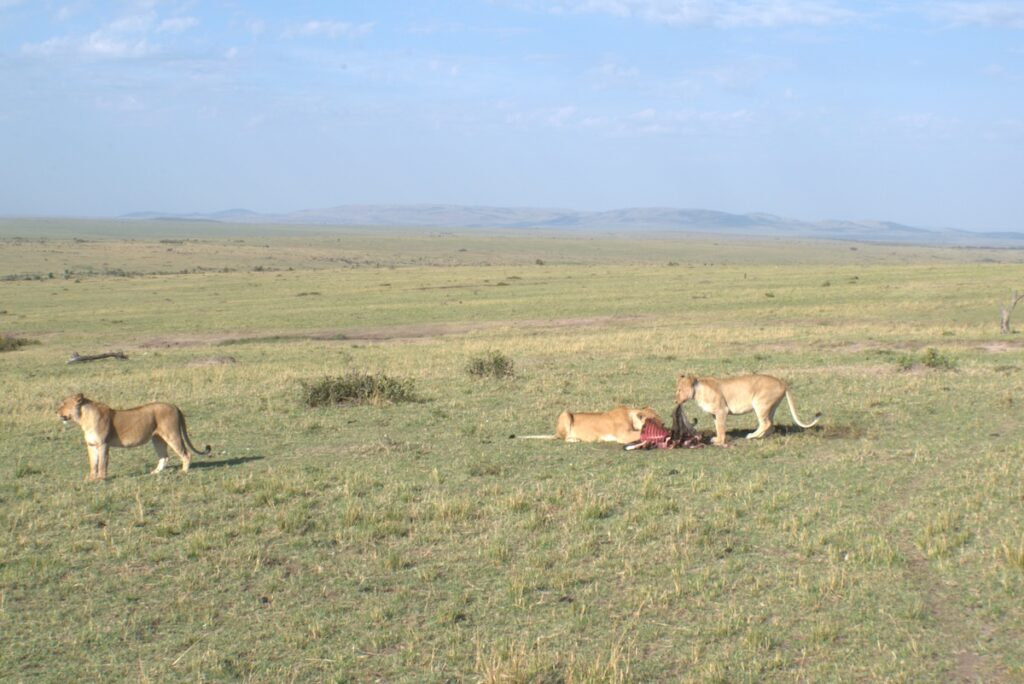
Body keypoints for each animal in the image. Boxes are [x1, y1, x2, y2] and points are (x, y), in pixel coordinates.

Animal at [58, 393, 211, 481]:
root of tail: (175, 406)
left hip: (172, 434)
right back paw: (155, 473)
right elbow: (93, 464)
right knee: (164, 457)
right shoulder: (91, 445)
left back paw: (183, 472)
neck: (83, 419)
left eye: (64, 404)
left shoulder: (103, 444)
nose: (56, 412)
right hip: (157, 439)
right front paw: (90, 479)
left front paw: (101, 479)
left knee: (186, 454)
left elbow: (102, 463)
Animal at [511, 405, 662, 444]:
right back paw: (575, 439)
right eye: (654, 419)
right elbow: (639, 433)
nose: (664, 424)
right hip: (566, 414)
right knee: (563, 438)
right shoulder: (623, 436)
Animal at [675, 374, 821, 446]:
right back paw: (760, 436)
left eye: (679, 390)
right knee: (771, 425)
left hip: (760, 403)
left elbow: (721, 428)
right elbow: (717, 427)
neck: (697, 391)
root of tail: (782, 382)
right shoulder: (714, 414)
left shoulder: (722, 410)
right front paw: (717, 439)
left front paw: (720, 442)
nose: (675, 400)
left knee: (766, 423)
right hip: (771, 407)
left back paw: (751, 436)